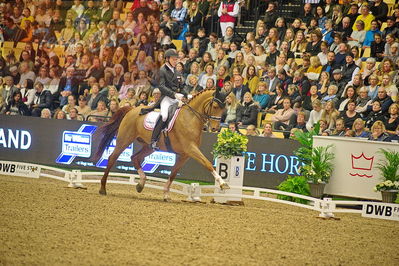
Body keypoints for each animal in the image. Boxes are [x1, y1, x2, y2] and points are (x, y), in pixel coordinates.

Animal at [94, 88, 230, 201]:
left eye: (224, 109)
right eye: (215, 106)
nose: (215, 128)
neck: (190, 117)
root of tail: (132, 109)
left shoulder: (185, 155)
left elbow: (173, 173)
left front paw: (165, 194)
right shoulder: (191, 149)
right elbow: (207, 164)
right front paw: (222, 183)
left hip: (148, 146)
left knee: (135, 157)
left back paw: (141, 184)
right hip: (124, 140)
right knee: (112, 158)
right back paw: (103, 188)